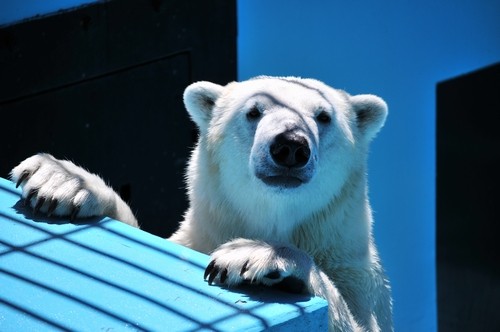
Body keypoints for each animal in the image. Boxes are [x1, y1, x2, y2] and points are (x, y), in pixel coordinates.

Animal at [11, 76, 392, 330]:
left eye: (324, 116)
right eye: (254, 111)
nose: (290, 145)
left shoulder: (357, 275)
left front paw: (255, 255)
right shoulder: (195, 239)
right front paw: (59, 179)